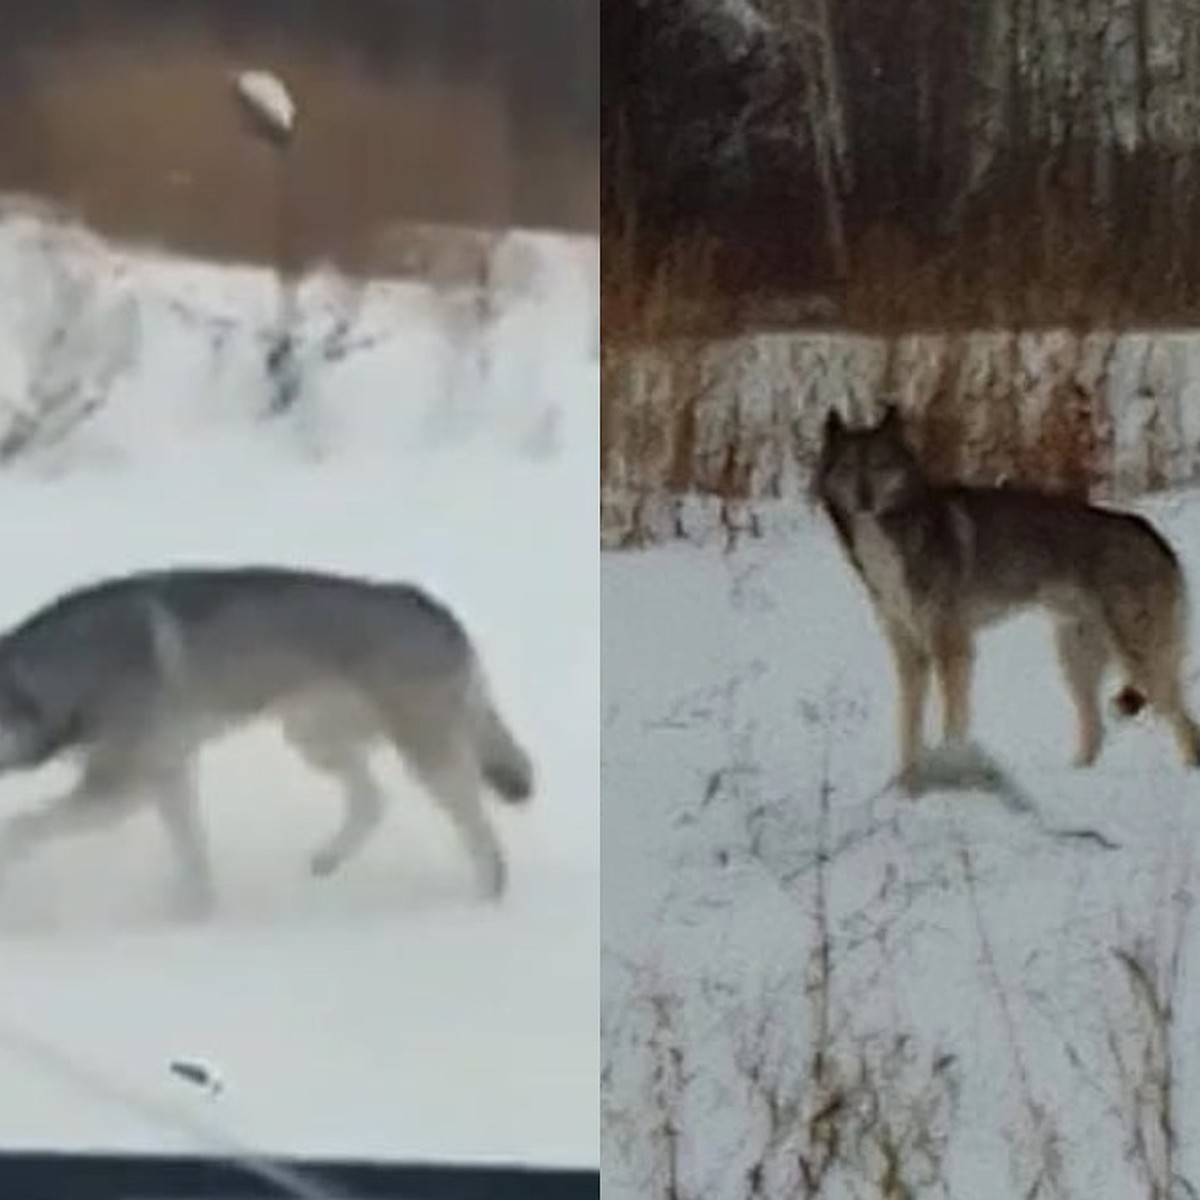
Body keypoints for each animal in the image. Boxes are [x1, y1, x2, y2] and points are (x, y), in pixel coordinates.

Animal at [0, 566, 535, 912]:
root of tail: (433, 606)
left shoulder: (120, 788)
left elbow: (25, 827)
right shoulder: (164, 773)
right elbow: (192, 854)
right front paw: (191, 913)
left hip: (424, 754)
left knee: (478, 835)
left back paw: (481, 902)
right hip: (312, 739)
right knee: (372, 800)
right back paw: (326, 860)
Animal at [816, 400, 1200, 777]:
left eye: (879, 465)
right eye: (848, 467)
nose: (864, 498)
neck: (892, 540)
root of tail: (1153, 535)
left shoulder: (952, 648)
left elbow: (953, 722)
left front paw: (953, 762)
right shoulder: (909, 652)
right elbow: (908, 728)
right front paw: (907, 779)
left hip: (1136, 657)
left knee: (1184, 722)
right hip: (1075, 659)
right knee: (1096, 729)